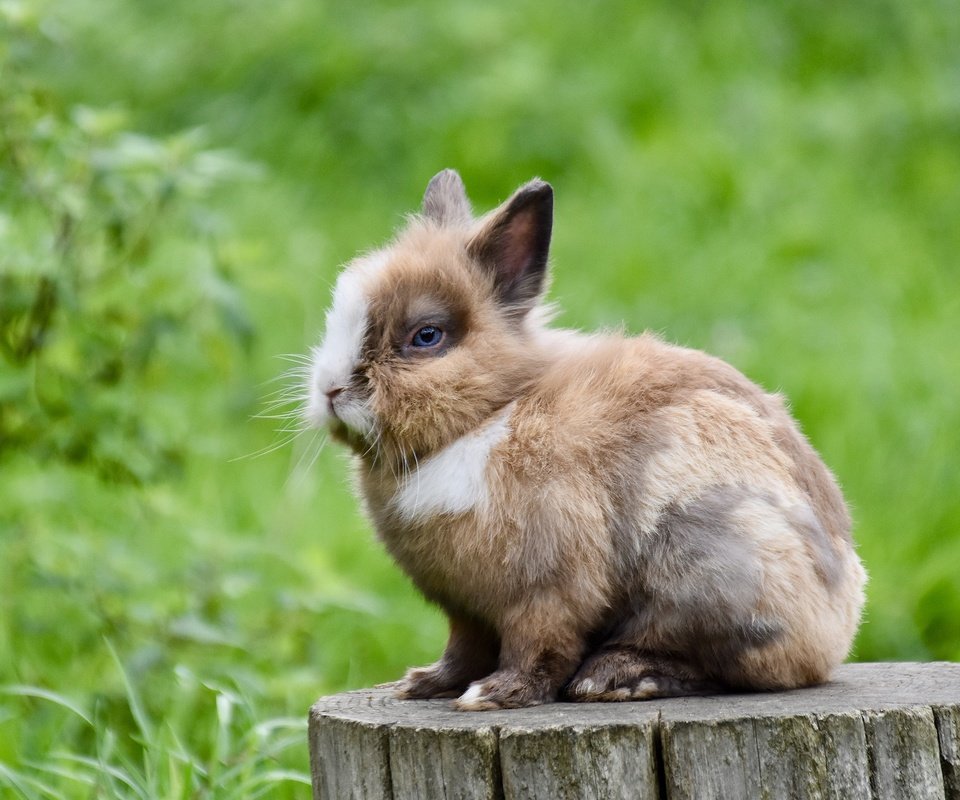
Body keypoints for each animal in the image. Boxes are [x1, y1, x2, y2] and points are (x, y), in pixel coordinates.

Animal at [304, 170, 868, 712]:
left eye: (426, 336)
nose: (331, 390)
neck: (492, 415)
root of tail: (840, 624)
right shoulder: (465, 610)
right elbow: (463, 651)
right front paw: (425, 685)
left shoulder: (546, 588)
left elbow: (538, 647)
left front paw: (493, 697)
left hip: (712, 566)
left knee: (724, 667)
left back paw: (613, 678)